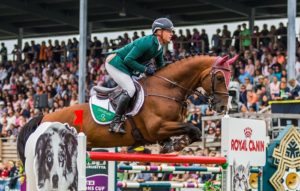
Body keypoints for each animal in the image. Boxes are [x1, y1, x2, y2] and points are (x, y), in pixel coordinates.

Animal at [17, 54, 238, 165]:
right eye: (220, 77)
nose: (222, 106)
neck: (168, 88)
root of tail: (44, 116)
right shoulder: (157, 128)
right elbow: (193, 129)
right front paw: (178, 144)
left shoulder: (163, 129)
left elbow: (192, 131)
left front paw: (170, 146)